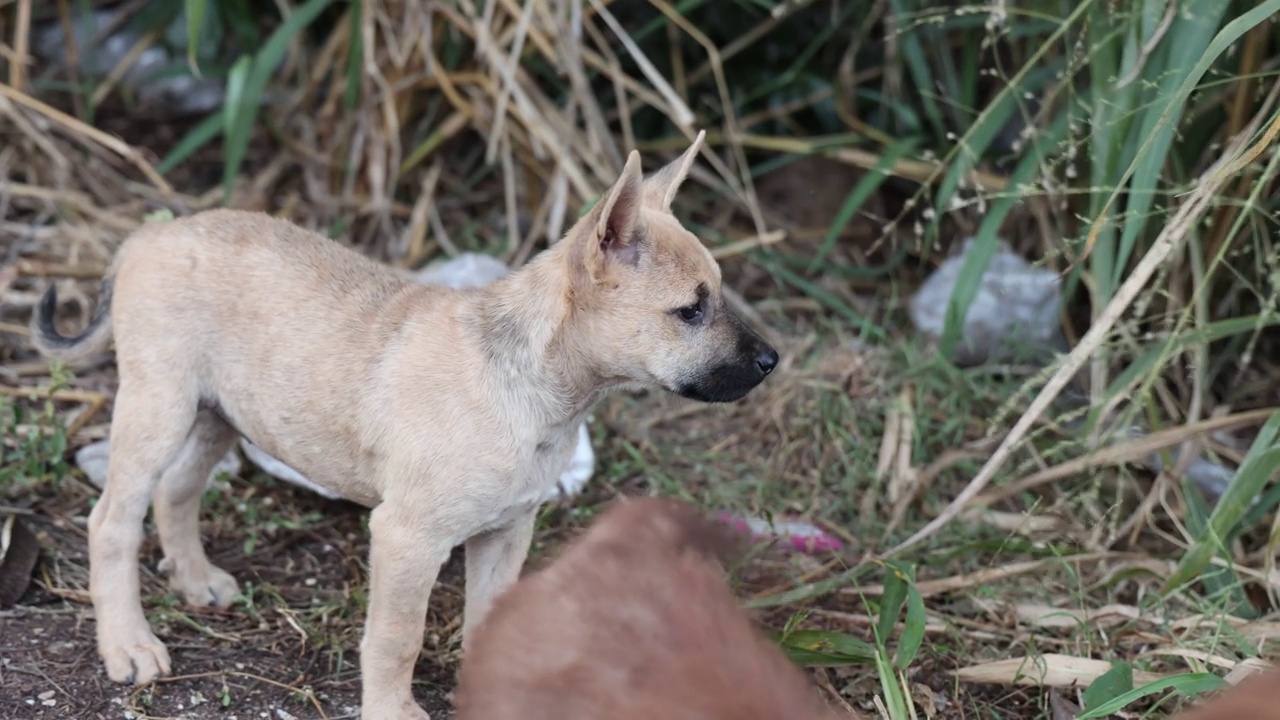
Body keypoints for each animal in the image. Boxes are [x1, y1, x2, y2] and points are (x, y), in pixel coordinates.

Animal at [32, 133, 778, 717]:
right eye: (691, 310)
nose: (772, 361)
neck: (531, 385)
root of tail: (150, 233)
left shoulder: (507, 533)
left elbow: (491, 618)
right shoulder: (407, 539)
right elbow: (398, 639)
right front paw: (392, 709)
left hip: (220, 413)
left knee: (177, 489)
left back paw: (194, 579)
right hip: (158, 407)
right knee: (111, 521)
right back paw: (128, 643)